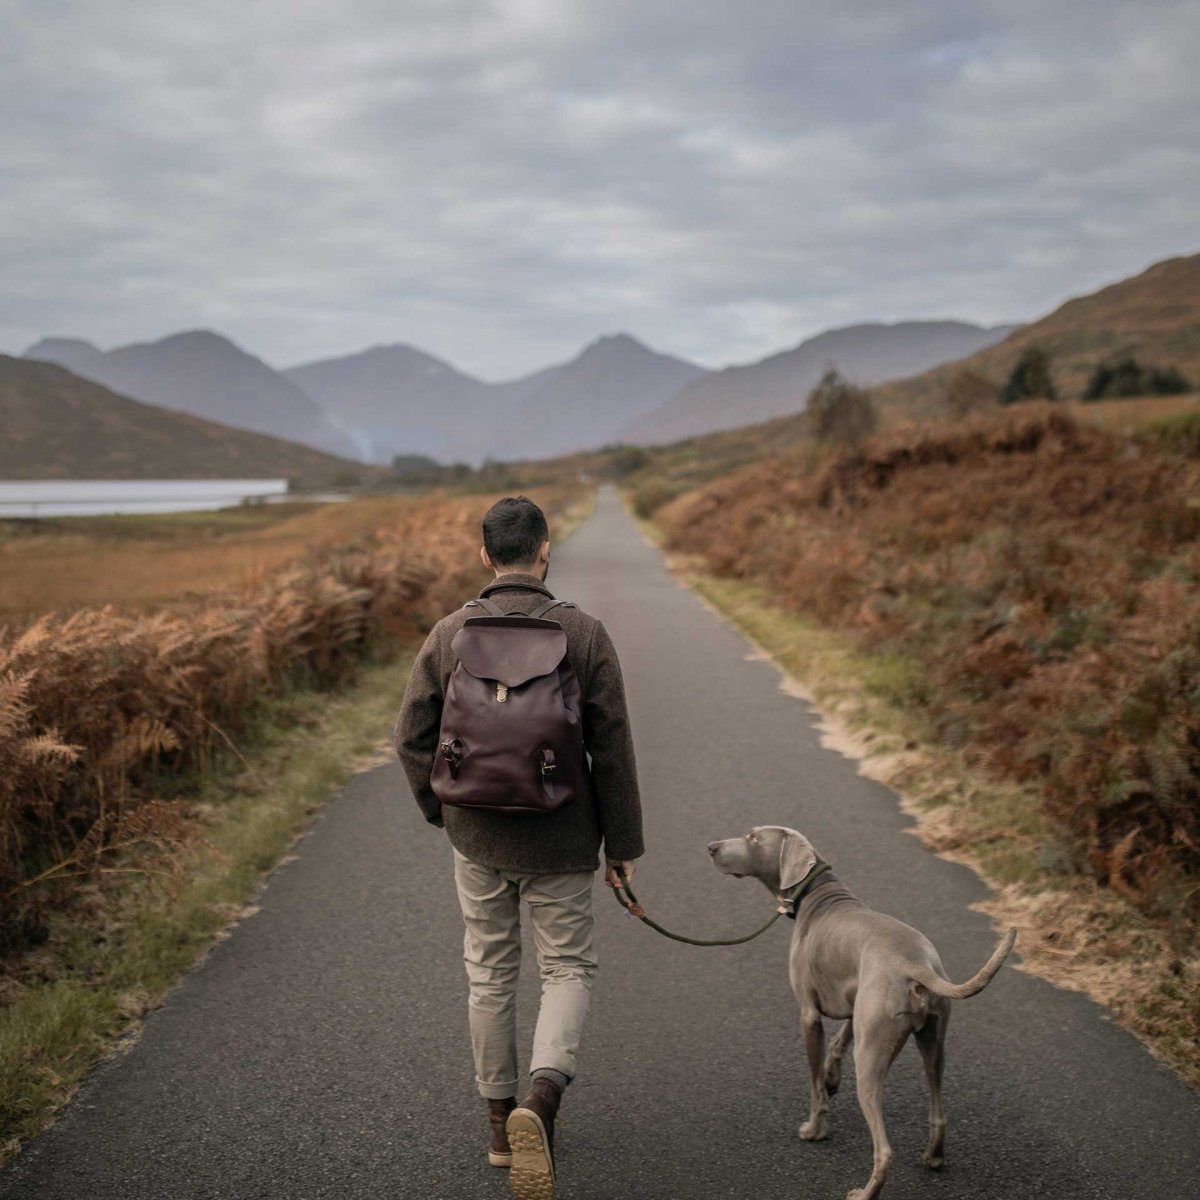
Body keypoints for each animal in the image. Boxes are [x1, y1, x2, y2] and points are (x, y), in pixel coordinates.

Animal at [705, 825, 1017, 1200]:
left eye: (753, 837)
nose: (711, 847)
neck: (820, 895)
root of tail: (915, 964)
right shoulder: (858, 1002)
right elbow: (840, 1040)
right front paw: (831, 1078)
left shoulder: (808, 1014)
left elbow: (814, 1084)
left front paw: (815, 1128)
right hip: (931, 1038)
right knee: (938, 1107)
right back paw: (933, 1157)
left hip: (870, 1059)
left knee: (884, 1149)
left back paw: (865, 1192)